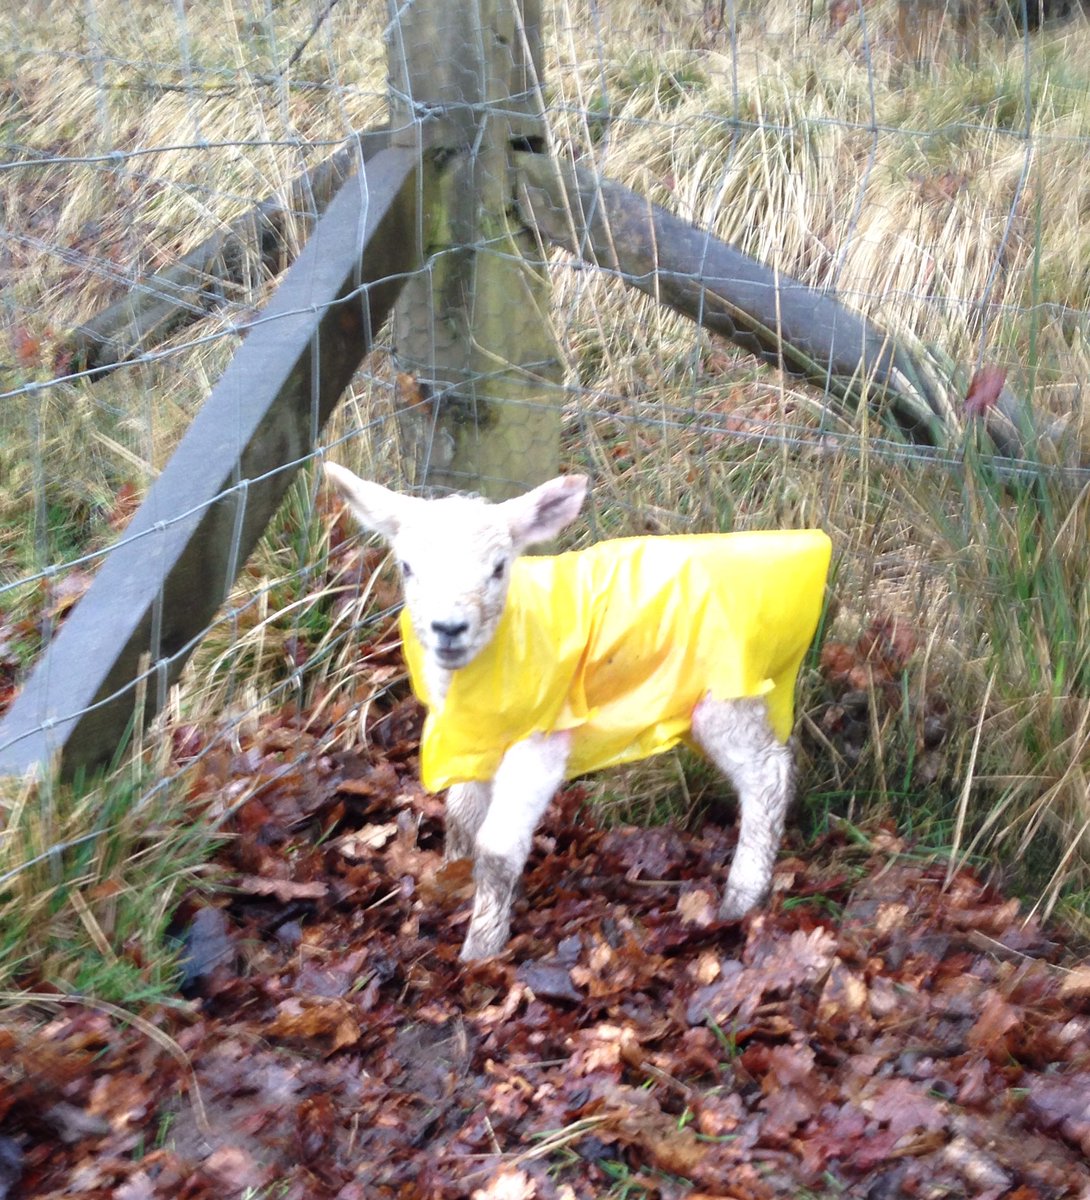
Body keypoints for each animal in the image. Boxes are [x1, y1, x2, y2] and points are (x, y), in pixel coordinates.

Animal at [324, 463, 831, 961]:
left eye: (499, 568)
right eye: (407, 567)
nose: (449, 628)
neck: (504, 647)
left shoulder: (540, 741)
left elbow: (496, 848)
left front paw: (480, 949)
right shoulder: (475, 736)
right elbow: (462, 817)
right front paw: (451, 884)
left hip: (726, 695)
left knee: (768, 773)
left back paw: (742, 898)